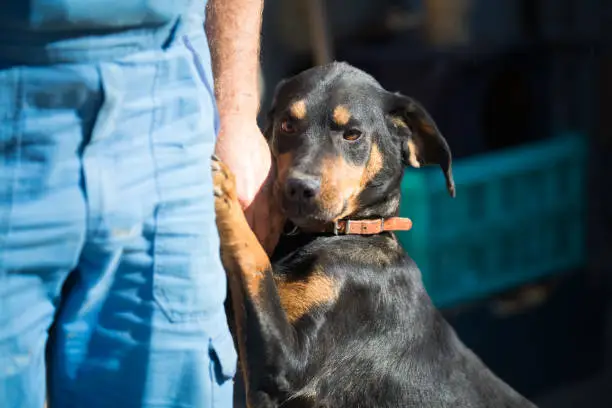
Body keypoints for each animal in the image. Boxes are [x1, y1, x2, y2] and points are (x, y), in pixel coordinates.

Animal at [213, 61, 536, 408]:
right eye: (287, 125)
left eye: (352, 134)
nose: (299, 188)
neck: (345, 232)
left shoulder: (285, 366)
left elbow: (254, 258)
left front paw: (225, 190)